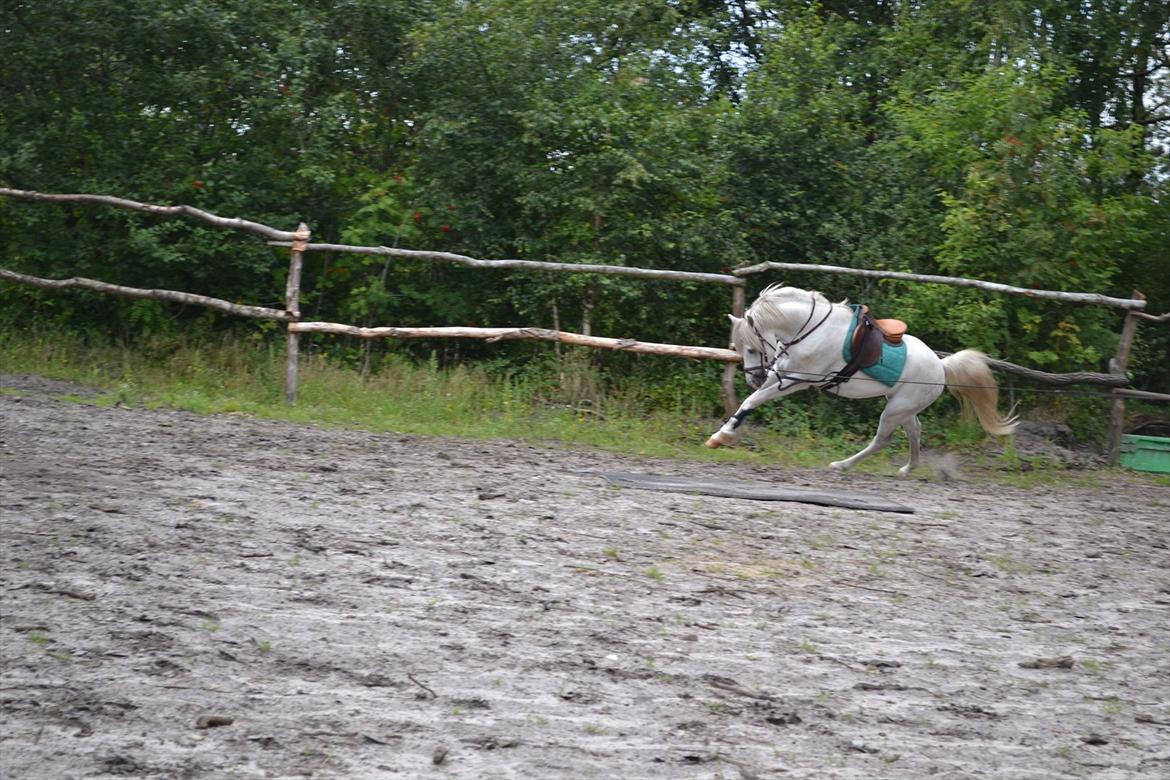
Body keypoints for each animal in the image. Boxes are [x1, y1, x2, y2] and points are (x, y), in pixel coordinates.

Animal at [705, 284, 1017, 475]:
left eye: (750, 348)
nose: (754, 378)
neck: (809, 330)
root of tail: (940, 366)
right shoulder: (780, 375)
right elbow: (749, 401)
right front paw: (721, 435)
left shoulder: (796, 380)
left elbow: (753, 401)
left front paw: (721, 437)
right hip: (902, 407)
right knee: (915, 431)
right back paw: (908, 469)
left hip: (895, 409)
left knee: (882, 440)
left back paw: (842, 465)